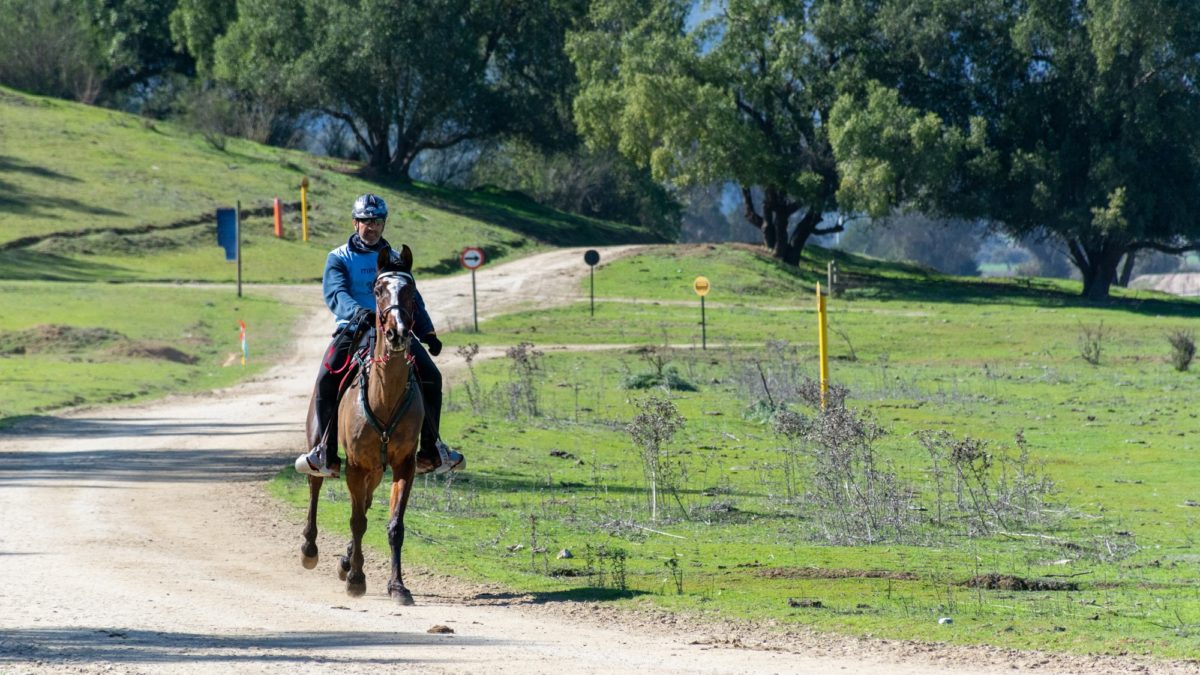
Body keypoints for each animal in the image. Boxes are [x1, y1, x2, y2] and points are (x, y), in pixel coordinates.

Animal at [297, 243, 424, 600]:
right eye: (378, 289)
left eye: (411, 292)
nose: (397, 333)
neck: (385, 396)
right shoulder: (354, 465)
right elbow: (356, 521)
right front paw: (355, 579)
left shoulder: (404, 465)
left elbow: (394, 525)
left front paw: (397, 585)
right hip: (320, 443)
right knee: (315, 485)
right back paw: (310, 549)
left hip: (377, 469)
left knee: (365, 502)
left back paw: (346, 560)